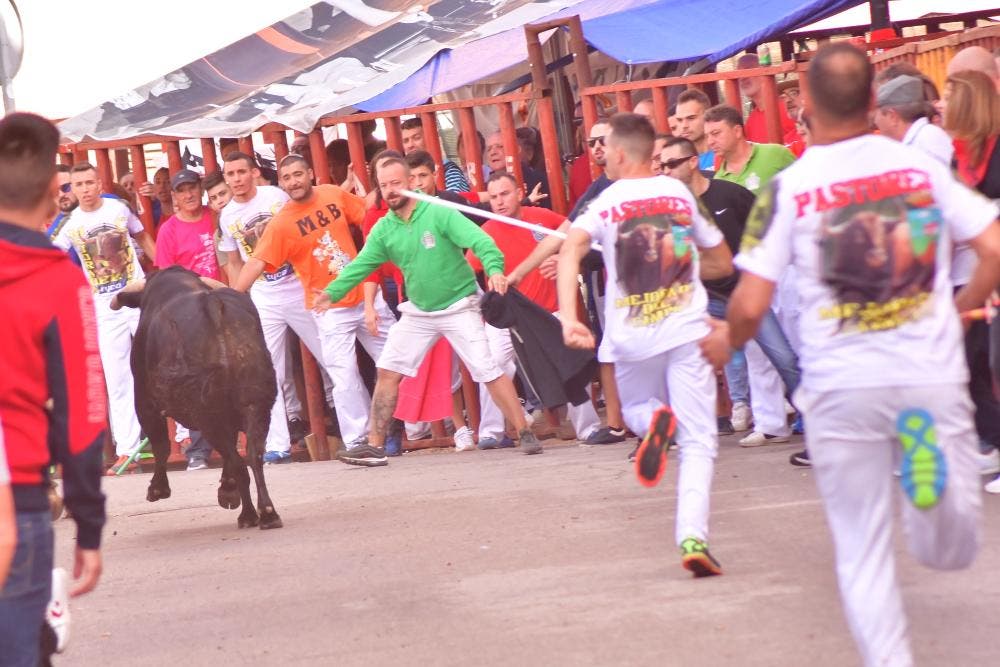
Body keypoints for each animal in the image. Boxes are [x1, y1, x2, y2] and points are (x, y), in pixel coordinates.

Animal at [114, 268, 284, 532]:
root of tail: (214, 306)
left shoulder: (144, 401)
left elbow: (161, 445)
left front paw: (158, 489)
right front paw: (228, 491)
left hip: (209, 416)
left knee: (237, 461)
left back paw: (248, 515)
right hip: (256, 406)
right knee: (252, 455)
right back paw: (267, 512)